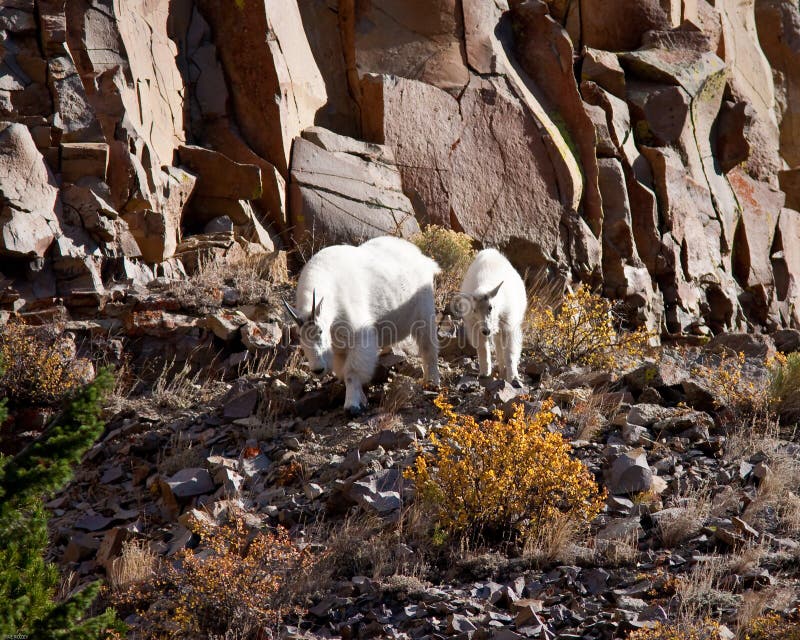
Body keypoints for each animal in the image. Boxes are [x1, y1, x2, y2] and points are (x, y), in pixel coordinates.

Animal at [284, 236, 441, 415]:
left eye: (320, 330)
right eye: (299, 336)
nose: (318, 370)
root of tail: (423, 258)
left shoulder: (358, 336)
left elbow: (351, 372)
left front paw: (352, 405)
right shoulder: (339, 347)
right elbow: (343, 372)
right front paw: (363, 400)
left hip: (425, 311)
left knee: (429, 347)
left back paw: (432, 381)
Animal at [456, 248, 527, 385]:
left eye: (490, 307)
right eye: (474, 310)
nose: (486, 330)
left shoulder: (508, 326)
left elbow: (510, 353)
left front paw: (513, 378)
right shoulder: (475, 327)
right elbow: (482, 348)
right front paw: (484, 373)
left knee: (502, 349)